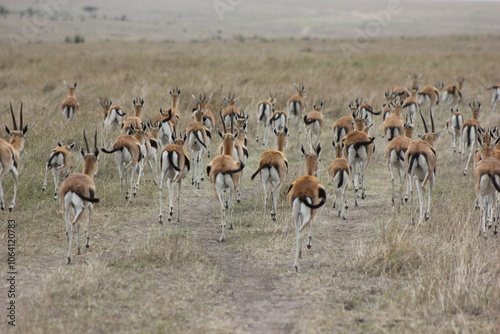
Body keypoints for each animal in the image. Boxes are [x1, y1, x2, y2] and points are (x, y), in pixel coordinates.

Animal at [59, 130, 99, 264]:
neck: (86, 175)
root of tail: (72, 187)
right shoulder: (89, 206)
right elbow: (88, 221)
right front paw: (86, 244)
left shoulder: (73, 208)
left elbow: (80, 225)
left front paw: (79, 248)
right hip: (80, 209)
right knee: (72, 224)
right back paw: (69, 257)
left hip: (66, 208)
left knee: (67, 228)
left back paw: (68, 250)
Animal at [288, 143, 326, 272]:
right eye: (320, 158)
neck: (309, 176)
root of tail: (301, 193)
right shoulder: (314, 212)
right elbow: (312, 224)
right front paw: (309, 245)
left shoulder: (299, 215)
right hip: (307, 215)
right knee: (300, 231)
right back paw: (295, 265)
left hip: (294, 215)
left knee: (297, 231)